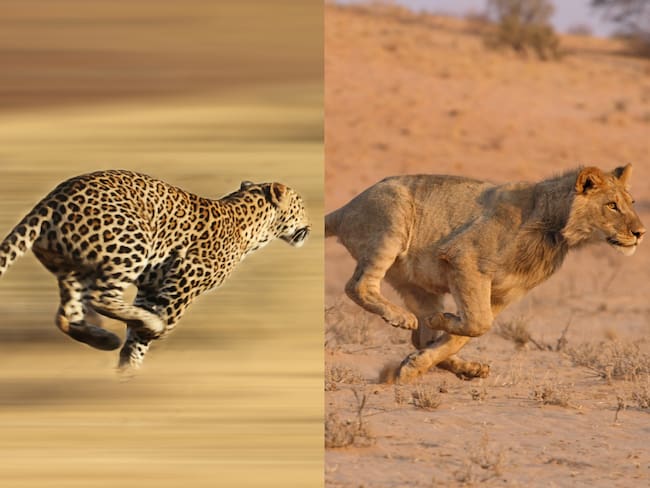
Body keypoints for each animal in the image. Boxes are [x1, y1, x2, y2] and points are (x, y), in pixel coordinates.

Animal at [0, 170, 310, 372]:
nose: (309, 225)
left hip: (72, 269)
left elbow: (135, 339)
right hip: (132, 243)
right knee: (100, 298)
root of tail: (51, 199)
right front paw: (142, 348)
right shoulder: (185, 276)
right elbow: (157, 326)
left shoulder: (150, 289)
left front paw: (127, 367)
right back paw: (143, 326)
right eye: (301, 206)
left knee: (67, 315)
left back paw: (104, 339)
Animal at [325, 164, 645, 383]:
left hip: (417, 284)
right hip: (392, 221)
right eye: (611, 205)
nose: (641, 233)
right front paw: (440, 321)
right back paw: (403, 318)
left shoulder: (504, 293)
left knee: (421, 338)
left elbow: (468, 331)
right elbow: (477, 323)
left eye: (631, 203)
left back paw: (466, 366)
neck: (554, 230)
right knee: (358, 286)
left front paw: (419, 361)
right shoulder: (465, 259)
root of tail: (345, 208)